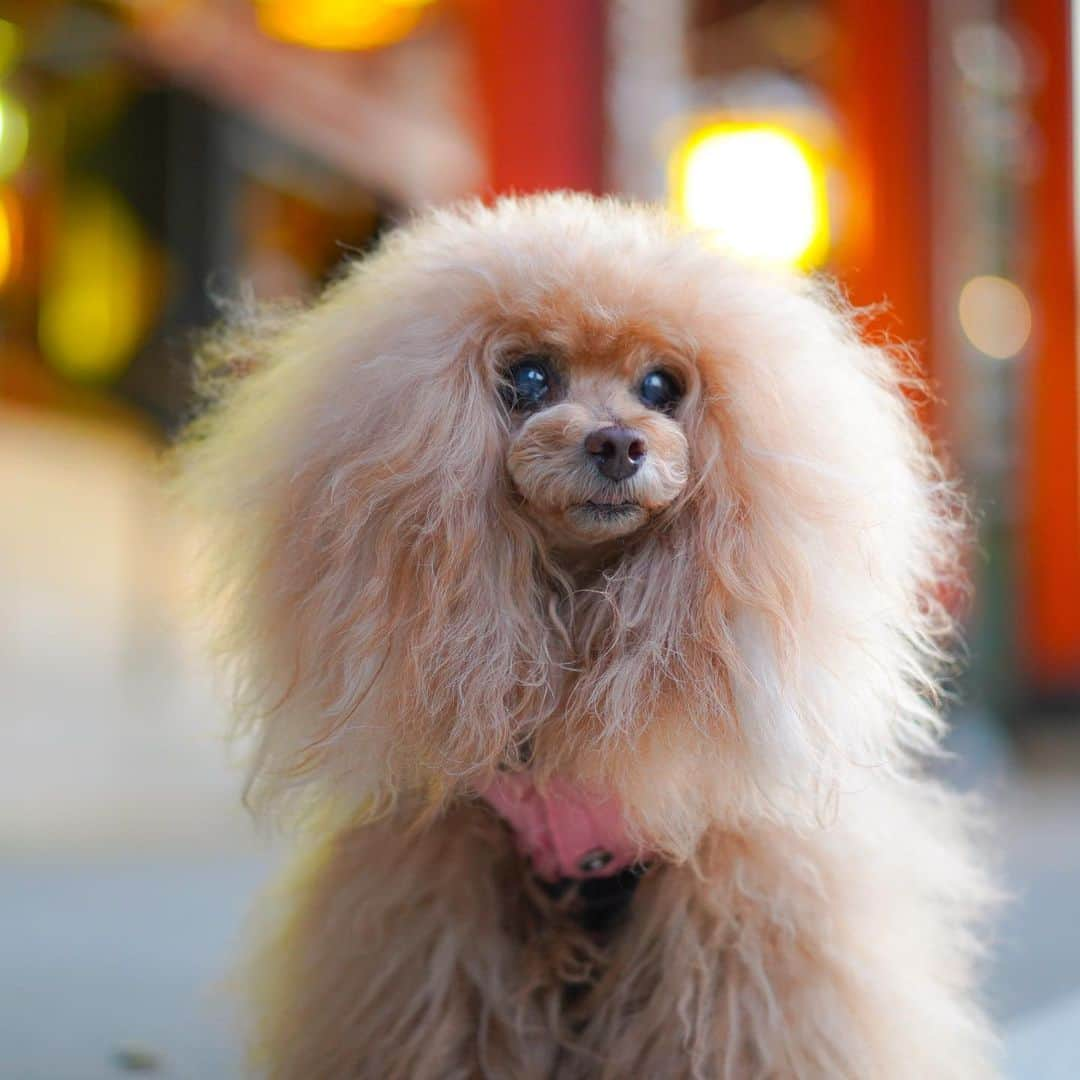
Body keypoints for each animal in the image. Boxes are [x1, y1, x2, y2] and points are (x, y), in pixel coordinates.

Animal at [179, 196, 993, 1080]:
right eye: (531, 378)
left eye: (663, 386)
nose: (616, 442)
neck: (572, 629)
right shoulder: (446, 894)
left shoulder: (732, 899)